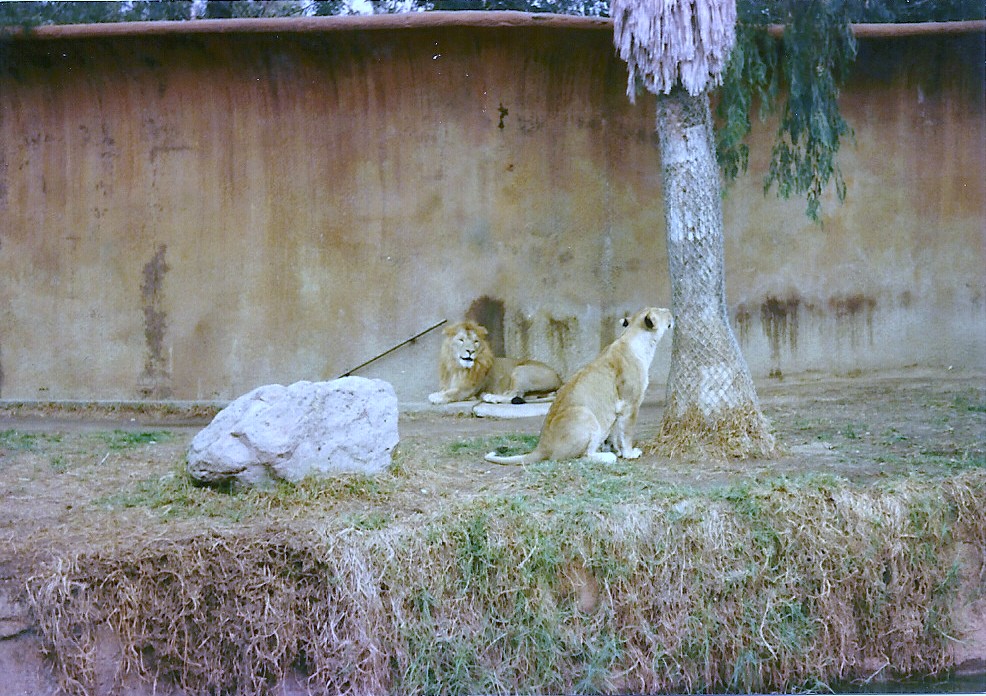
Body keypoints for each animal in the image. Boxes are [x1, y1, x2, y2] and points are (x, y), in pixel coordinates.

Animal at [428, 321, 562, 405]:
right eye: (461, 340)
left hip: (520, 370)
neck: (457, 367)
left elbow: (452, 393)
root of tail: (559, 379)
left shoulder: (468, 389)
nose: (470, 351)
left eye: (476, 341)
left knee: (514, 394)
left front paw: (437, 396)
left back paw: (491, 397)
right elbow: (447, 390)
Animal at [485, 307, 673, 465]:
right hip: (585, 414)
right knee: (582, 456)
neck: (634, 338)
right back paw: (607, 456)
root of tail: (542, 446)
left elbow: (614, 432)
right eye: (662, 311)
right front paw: (629, 453)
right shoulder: (630, 403)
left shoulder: (617, 407)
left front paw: (616, 449)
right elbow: (626, 432)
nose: (671, 312)